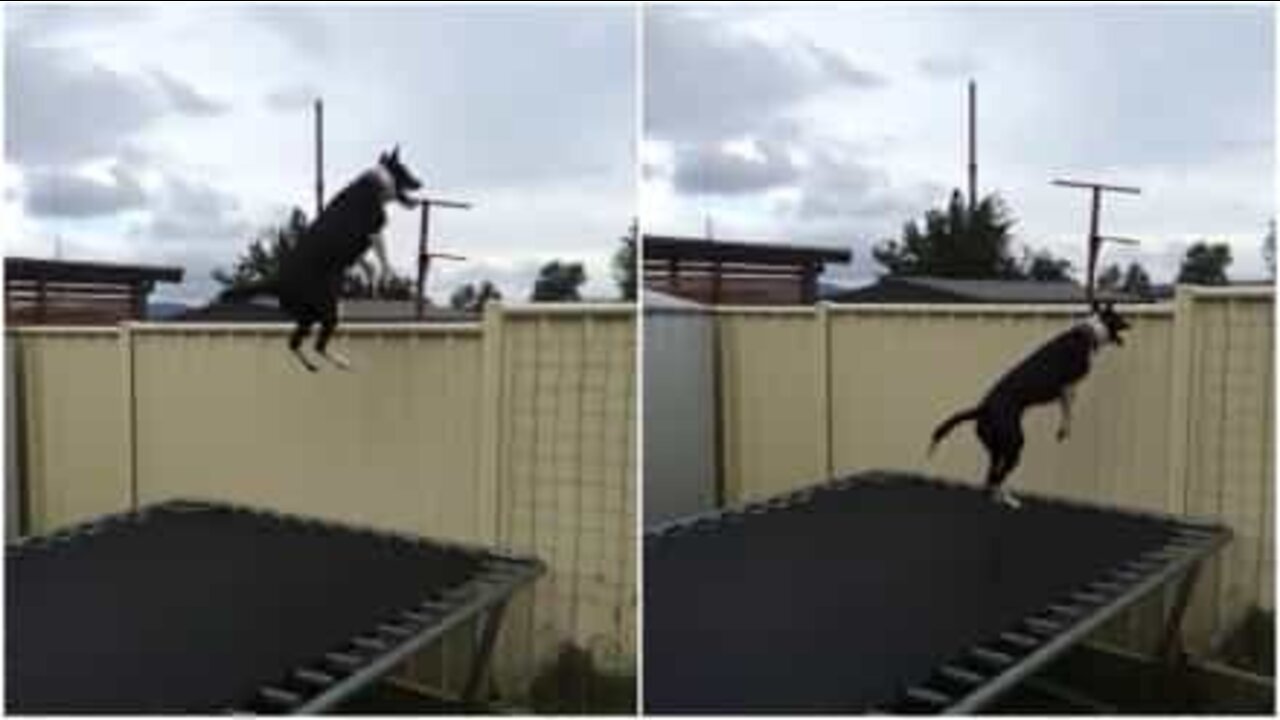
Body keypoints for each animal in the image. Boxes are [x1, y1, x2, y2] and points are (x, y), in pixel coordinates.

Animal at [220, 146, 419, 368]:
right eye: (406, 171)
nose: (421, 183)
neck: (377, 182)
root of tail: (278, 280)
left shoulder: (360, 244)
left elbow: (368, 264)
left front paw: (373, 279)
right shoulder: (374, 232)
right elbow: (384, 259)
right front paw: (387, 275)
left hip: (308, 315)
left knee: (294, 343)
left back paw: (311, 365)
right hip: (327, 311)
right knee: (317, 345)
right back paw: (341, 362)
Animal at [931, 299, 1131, 507]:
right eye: (1120, 318)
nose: (1131, 325)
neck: (1088, 333)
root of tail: (982, 409)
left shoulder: (1065, 391)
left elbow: (1066, 408)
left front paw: (1063, 430)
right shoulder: (1069, 384)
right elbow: (1069, 404)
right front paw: (1065, 427)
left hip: (996, 448)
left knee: (990, 478)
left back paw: (999, 497)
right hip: (1014, 444)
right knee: (997, 477)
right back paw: (1009, 500)